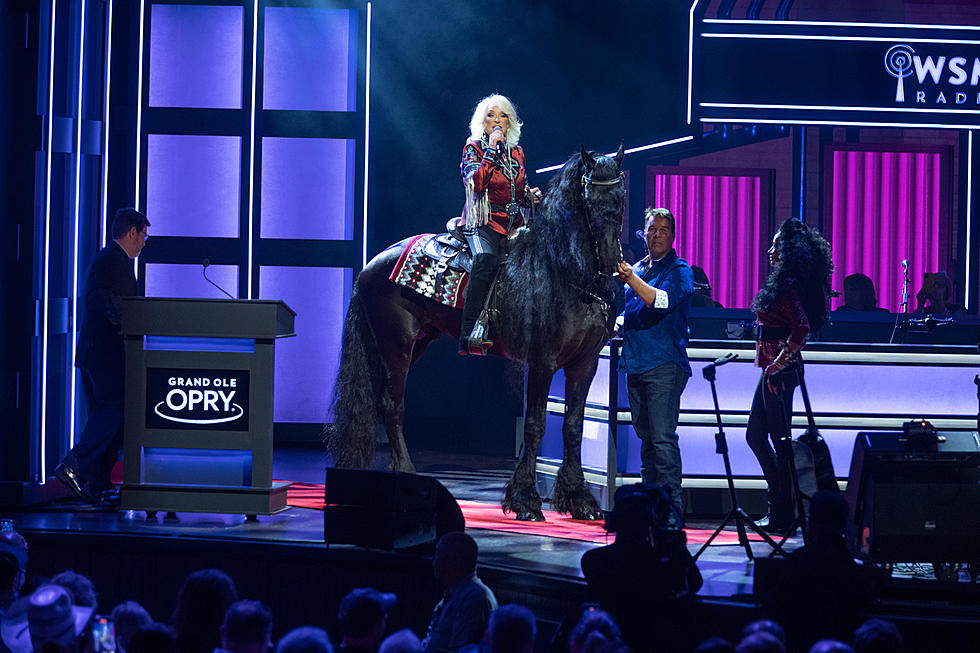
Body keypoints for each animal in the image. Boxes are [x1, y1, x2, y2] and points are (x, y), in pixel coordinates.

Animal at [326, 146, 624, 520]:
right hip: (397, 346)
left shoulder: (585, 364)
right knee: (392, 407)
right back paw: (407, 477)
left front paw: (580, 499)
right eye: (588, 199)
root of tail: (371, 264)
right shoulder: (542, 361)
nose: (611, 262)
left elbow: (573, 426)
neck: (561, 270)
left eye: (621, 197)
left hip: (411, 343)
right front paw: (524, 499)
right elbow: (535, 424)